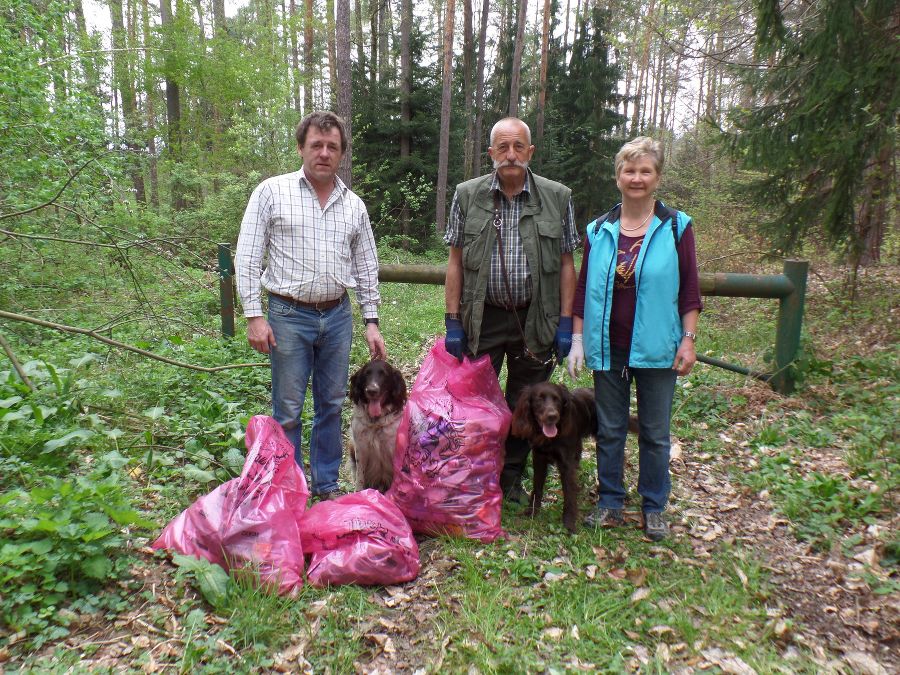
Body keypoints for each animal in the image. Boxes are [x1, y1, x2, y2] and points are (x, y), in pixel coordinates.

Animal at [348, 362, 408, 494]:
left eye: (383, 374)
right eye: (366, 374)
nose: (371, 390)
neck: (376, 422)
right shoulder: (360, 449)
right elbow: (360, 477)